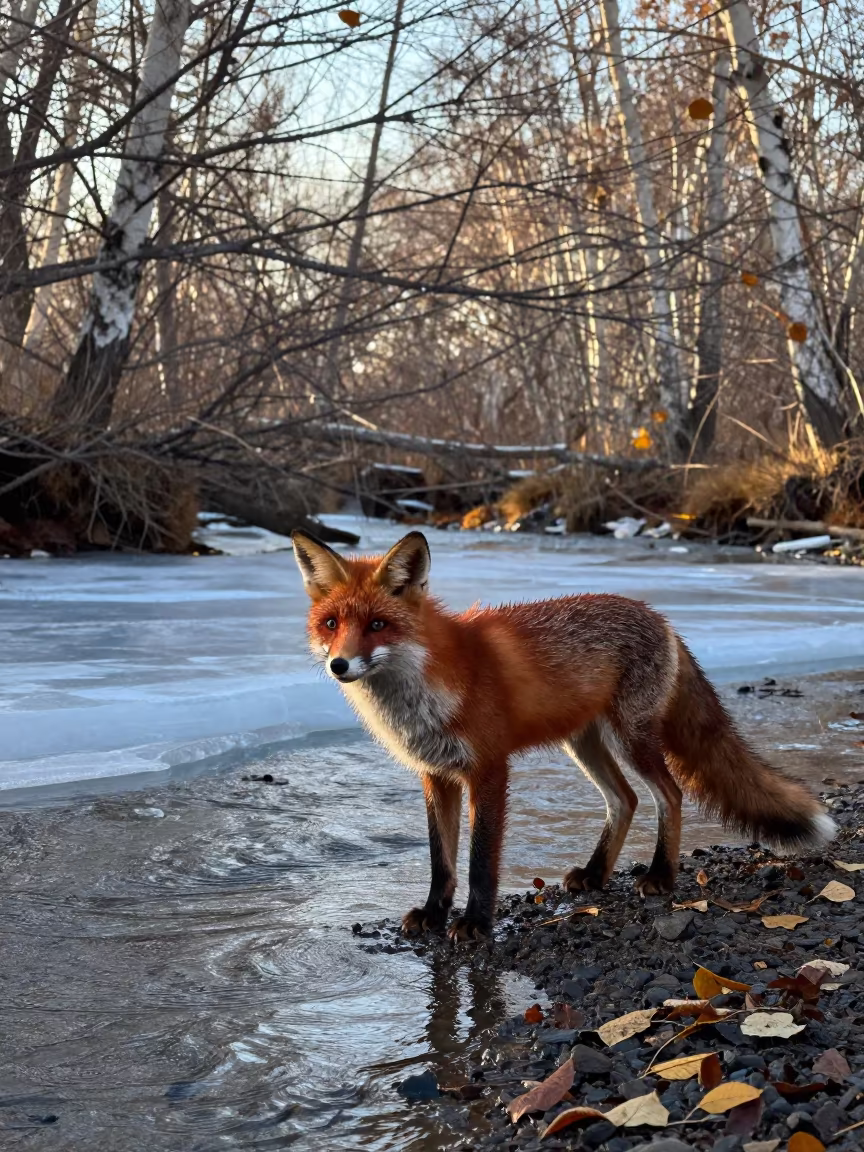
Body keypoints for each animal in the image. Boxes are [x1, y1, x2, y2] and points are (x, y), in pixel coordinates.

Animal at [291, 529, 835, 941]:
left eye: (378, 625)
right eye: (332, 624)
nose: (340, 665)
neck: (426, 686)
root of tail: (659, 616)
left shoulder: (489, 768)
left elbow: (480, 860)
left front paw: (476, 922)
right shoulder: (436, 775)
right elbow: (440, 860)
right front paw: (433, 913)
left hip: (631, 739)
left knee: (669, 795)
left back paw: (660, 875)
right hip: (584, 744)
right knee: (625, 800)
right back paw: (595, 874)